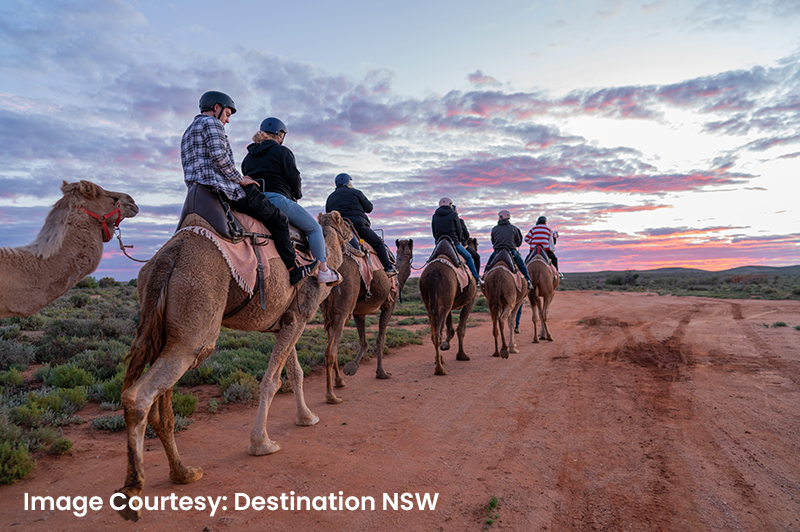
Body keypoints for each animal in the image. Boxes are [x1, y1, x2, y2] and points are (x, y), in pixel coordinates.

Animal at [114, 211, 352, 520]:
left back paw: (183, 472)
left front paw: (306, 417)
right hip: (195, 330)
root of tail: (168, 257)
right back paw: (132, 492)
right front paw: (262, 443)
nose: (358, 239)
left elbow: (295, 372)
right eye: (347, 223)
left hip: (166, 329)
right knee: (139, 395)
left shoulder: (285, 322)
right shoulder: (299, 316)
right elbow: (272, 381)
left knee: (160, 405)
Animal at [320, 238, 416, 404]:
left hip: (327, 310)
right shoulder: (389, 305)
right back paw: (331, 396)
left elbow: (363, 341)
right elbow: (380, 339)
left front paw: (353, 366)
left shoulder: (359, 312)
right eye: (411, 254)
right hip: (344, 308)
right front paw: (382, 373)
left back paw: (339, 382)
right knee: (330, 350)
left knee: (331, 343)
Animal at [418, 239, 476, 376]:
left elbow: (450, 327)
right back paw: (440, 369)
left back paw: (439, 361)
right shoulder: (470, 301)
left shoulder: (448, 304)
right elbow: (461, 329)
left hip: (432, 303)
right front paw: (462, 355)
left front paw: (446, 345)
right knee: (437, 334)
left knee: (434, 333)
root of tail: (434, 272)